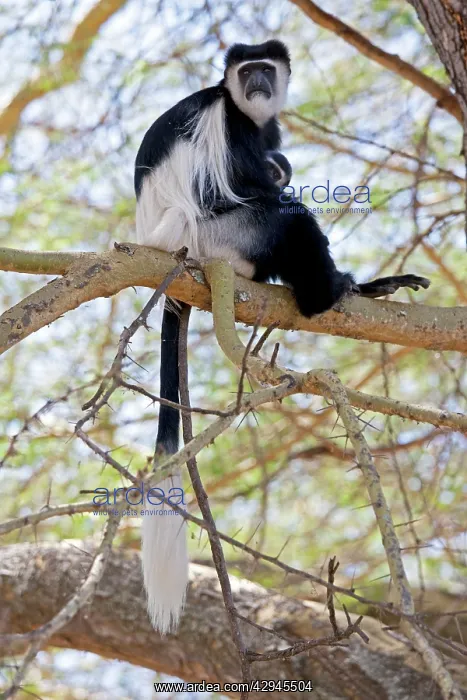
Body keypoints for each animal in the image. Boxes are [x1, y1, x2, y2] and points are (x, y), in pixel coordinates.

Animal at [134, 40, 430, 634]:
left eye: (266, 70)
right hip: (219, 238)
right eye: (247, 71)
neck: (244, 111)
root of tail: (168, 251)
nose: (258, 85)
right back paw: (326, 292)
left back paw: (357, 286)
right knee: (285, 218)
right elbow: (248, 187)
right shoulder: (227, 127)